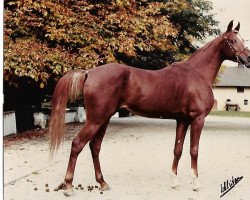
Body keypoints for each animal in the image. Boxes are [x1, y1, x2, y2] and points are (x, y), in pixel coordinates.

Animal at [47, 21, 250, 196]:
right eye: (233, 40)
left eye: (243, 39)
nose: (248, 59)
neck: (197, 73)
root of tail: (89, 72)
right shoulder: (197, 119)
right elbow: (194, 150)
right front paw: (196, 183)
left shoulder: (182, 120)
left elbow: (177, 150)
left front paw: (174, 182)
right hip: (96, 119)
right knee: (77, 144)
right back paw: (69, 186)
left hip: (103, 119)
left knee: (94, 147)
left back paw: (103, 183)